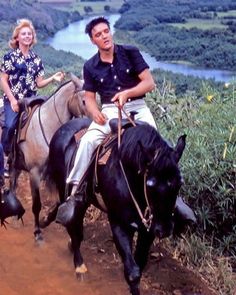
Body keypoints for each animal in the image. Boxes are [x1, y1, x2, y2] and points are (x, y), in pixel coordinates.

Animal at [10, 73, 86, 240]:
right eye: (84, 101)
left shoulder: (55, 174)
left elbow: (59, 202)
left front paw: (45, 221)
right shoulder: (34, 173)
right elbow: (37, 204)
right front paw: (37, 231)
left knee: (13, 184)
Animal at [44, 118, 186, 295]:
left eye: (179, 183)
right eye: (150, 185)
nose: (165, 229)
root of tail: (62, 129)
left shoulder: (148, 229)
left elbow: (139, 264)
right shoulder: (119, 223)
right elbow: (133, 272)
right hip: (69, 191)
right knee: (73, 225)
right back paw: (79, 266)